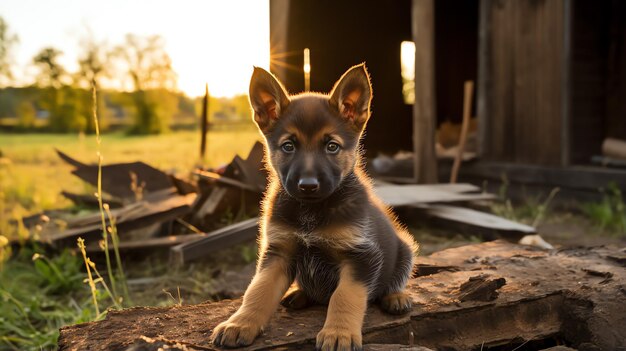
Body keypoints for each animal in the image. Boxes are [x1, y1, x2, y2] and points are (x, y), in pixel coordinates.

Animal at [211, 64, 420, 351]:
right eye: (288, 146)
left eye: (332, 146)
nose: (308, 186)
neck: (311, 212)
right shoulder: (279, 252)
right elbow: (257, 291)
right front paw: (240, 324)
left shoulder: (360, 257)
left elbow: (344, 296)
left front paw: (339, 332)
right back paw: (299, 294)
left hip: (405, 247)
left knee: (397, 277)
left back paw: (396, 296)